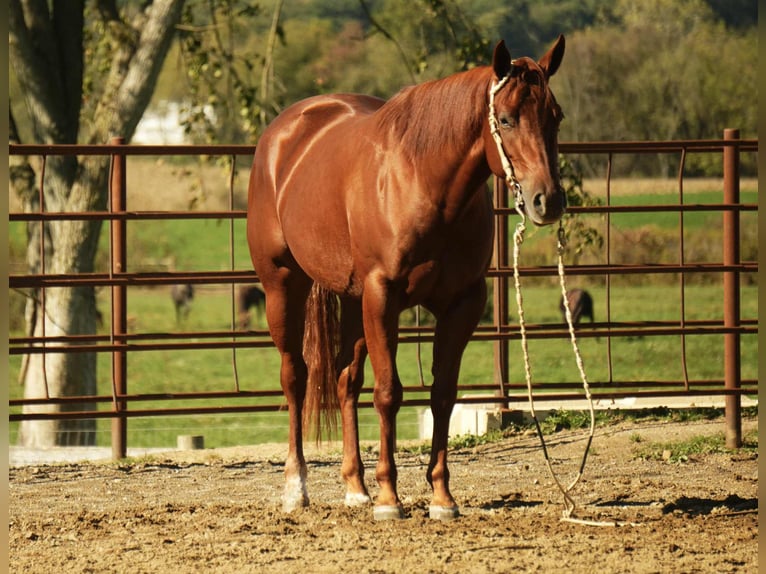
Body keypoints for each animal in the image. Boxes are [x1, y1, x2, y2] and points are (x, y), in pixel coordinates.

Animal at [246, 36, 566, 520]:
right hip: (284, 286)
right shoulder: (384, 296)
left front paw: (441, 497)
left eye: (556, 116)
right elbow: (389, 393)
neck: (423, 180)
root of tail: (284, 133)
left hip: (353, 302)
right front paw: (389, 498)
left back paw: (355, 487)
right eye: (507, 119)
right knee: (295, 377)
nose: (547, 200)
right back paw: (296, 488)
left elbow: (442, 395)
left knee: (344, 380)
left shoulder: (462, 304)